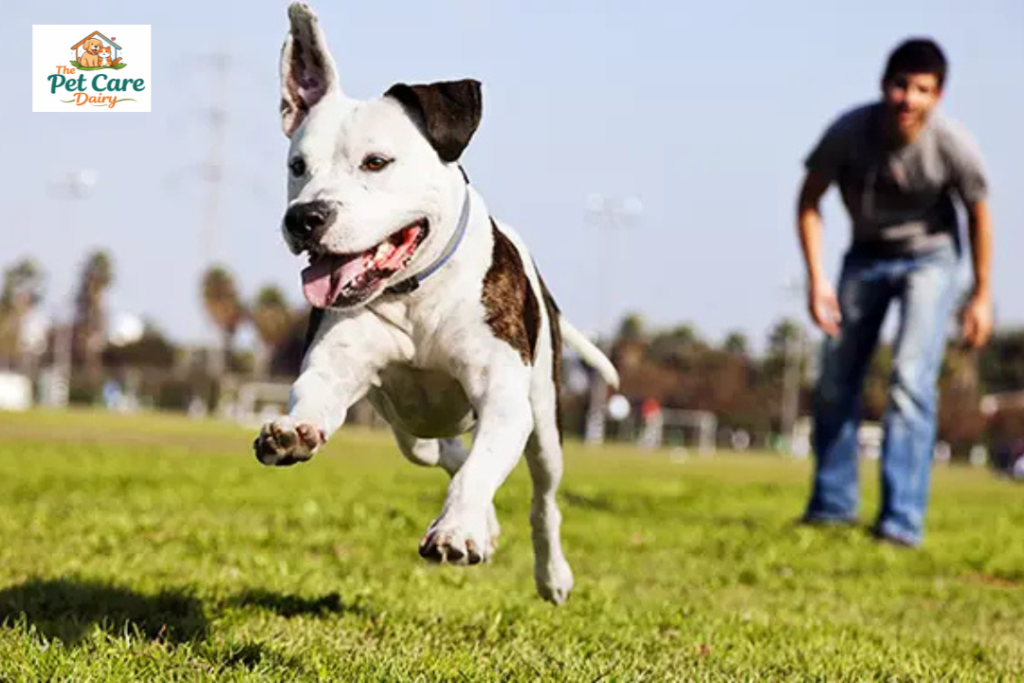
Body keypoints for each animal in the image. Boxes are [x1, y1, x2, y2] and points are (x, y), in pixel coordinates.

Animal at [253, 2, 620, 605]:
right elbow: (315, 396)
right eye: (297, 166)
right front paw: (292, 433)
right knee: (441, 452)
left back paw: (550, 573)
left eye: (376, 162)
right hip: (409, 428)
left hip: (545, 420)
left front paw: (458, 530)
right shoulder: (336, 366)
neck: (415, 293)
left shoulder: (504, 398)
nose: (305, 218)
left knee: (542, 498)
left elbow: (482, 467)